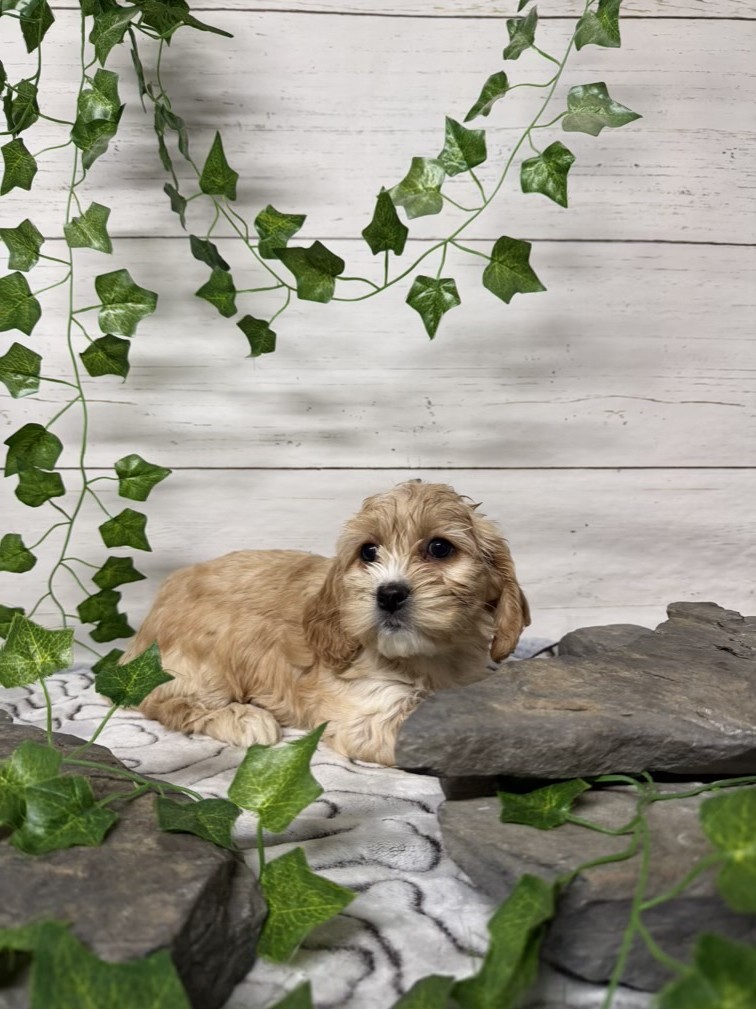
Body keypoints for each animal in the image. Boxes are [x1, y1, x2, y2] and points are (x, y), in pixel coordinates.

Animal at [122, 481, 530, 765]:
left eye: (440, 548)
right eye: (368, 552)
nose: (389, 594)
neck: (428, 660)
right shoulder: (370, 714)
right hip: (208, 660)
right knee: (162, 700)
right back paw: (244, 719)